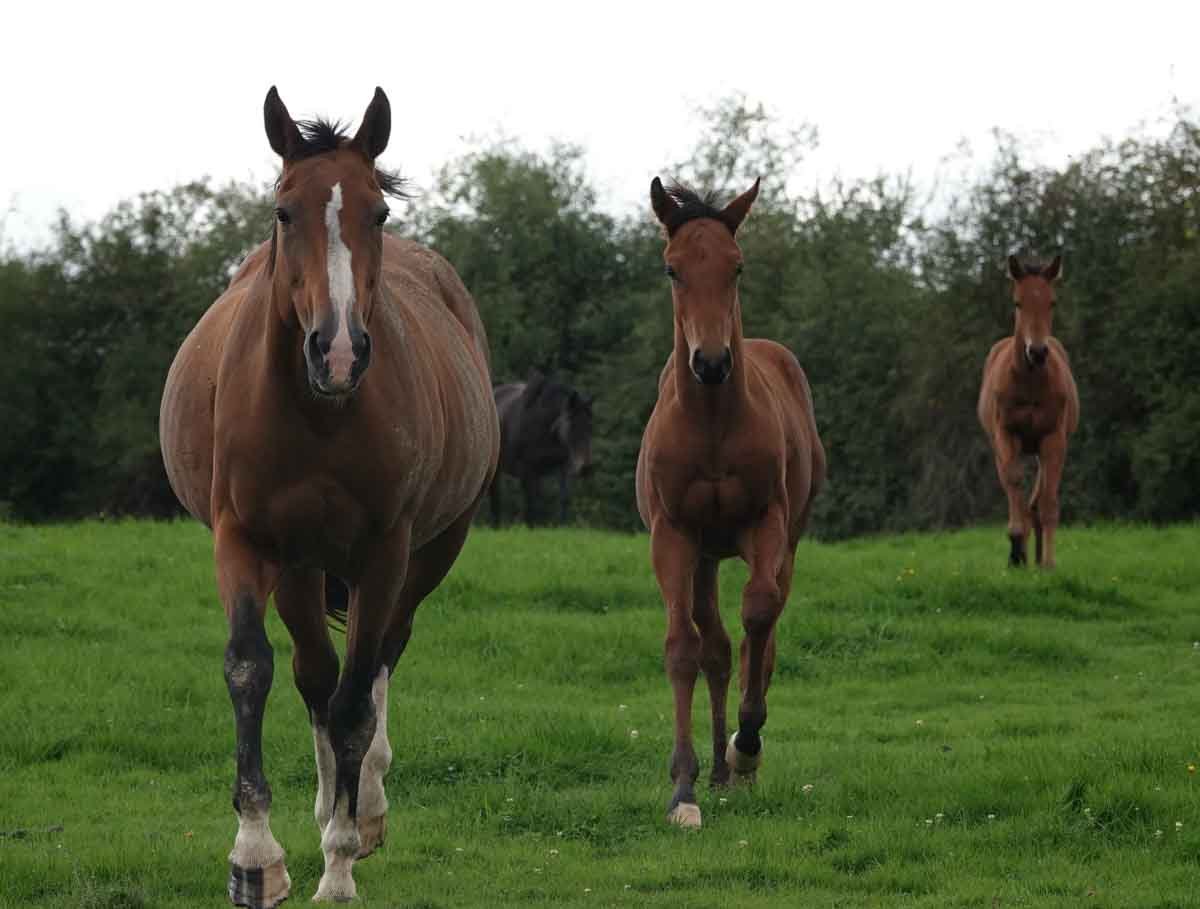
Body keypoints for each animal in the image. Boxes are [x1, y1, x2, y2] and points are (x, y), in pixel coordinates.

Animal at [159, 87, 499, 907]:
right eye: (284, 211)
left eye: (378, 211)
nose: (338, 351)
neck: (318, 411)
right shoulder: (247, 539)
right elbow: (252, 668)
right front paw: (256, 858)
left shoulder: (384, 552)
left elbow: (353, 704)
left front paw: (340, 863)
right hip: (302, 565)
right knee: (315, 671)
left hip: (429, 552)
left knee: (375, 668)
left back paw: (363, 810)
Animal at [490, 370, 593, 525]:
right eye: (572, 425)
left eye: (590, 426)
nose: (585, 468)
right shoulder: (526, 470)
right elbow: (530, 503)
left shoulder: (561, 467)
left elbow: (563, 499)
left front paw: (561, 526)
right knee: (496, 498)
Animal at [635, 178, 825, 829]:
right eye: (672, 269)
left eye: (736, 267)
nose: (712, 362)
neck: (713, 425)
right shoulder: (674, 536)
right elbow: (682, 649)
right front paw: (683, 790)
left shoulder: (764, 525)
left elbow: (760, 616)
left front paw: (748, 745)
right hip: (705, 557)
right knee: (714, 647)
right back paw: (714, 772)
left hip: (785, 541)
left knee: (758, 636)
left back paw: (738, 761)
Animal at [978, 254, 1079, 569]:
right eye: (1018, 302)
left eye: (1052, 302)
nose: (1037, 352)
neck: (1030, 382)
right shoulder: (1007, 434)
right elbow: (1014, 483)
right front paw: (1016, 550)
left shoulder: (1053, 438)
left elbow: (1047, 502)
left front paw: (1047, 563)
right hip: (1002, 445)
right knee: (1015, 489)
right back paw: (1019, 552)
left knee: (1036, 499)